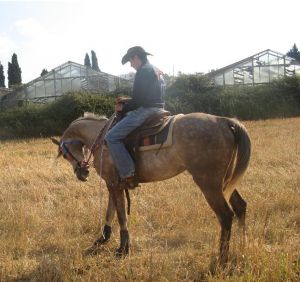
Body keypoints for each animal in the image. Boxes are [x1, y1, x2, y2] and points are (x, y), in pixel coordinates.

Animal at [52, 111, 251, 266]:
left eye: (64, 154)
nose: (82, 173)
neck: (102, 138)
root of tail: (224, 121)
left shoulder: (114, 184)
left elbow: (121, 214)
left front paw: (123, 249)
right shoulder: (112, 183)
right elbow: (111, 210)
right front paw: (103, 238)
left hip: (209, 183)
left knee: (225, 215)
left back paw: (222, 260)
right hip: (224, 182)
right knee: (240, 207)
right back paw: (242, 248)